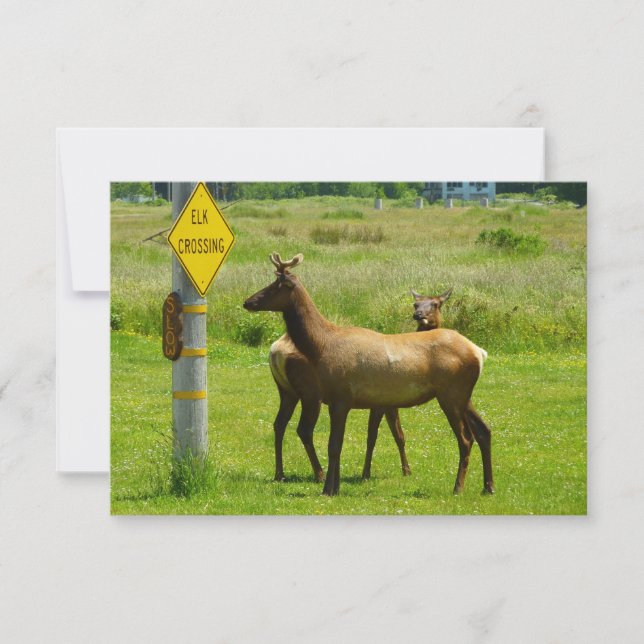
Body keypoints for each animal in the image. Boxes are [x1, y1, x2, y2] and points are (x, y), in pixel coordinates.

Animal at [268, 282, 452, 484]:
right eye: (415, 304)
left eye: (435, 304)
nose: (419, 315)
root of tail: (275, 351)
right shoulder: (381, 403)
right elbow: (377, 436)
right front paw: (372, 473)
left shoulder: (389, 402)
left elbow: (397, 435)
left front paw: (403, 470)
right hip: (310, 392)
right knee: (304, 430)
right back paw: (319, 474)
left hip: (287, 391)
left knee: (279, 424)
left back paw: (280, 473)